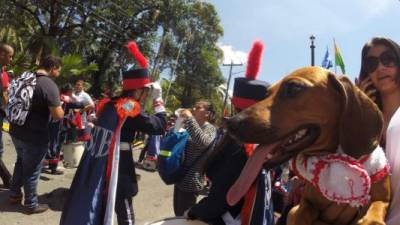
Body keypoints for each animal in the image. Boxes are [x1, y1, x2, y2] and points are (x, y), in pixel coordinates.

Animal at [227, 67, 390, 225]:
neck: (337, 160)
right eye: (267, 94)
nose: (230, 123)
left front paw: (371, 220)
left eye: (294, 88)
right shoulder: (302, 205)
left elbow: (376, 210)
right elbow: (301, 213)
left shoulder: (383, 198)